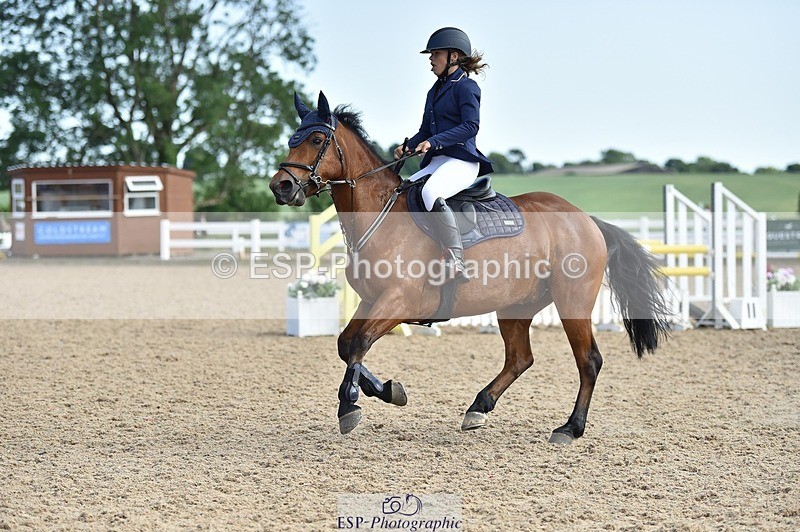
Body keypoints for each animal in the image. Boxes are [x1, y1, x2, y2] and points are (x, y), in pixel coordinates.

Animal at [270, 92, 670, 443]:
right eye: (291, 140)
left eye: (317, 139)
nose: (281, 186)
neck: (380, 215)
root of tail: (586, 219)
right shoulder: (372, 301)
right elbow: (345, 343)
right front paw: (389, 391)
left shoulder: (398, 302)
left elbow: (359, 343)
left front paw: (349, 406)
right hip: (516, 306)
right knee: (520, 358)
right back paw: (479, 407)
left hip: (572, 302)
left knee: (588, 361)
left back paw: (570, 428)